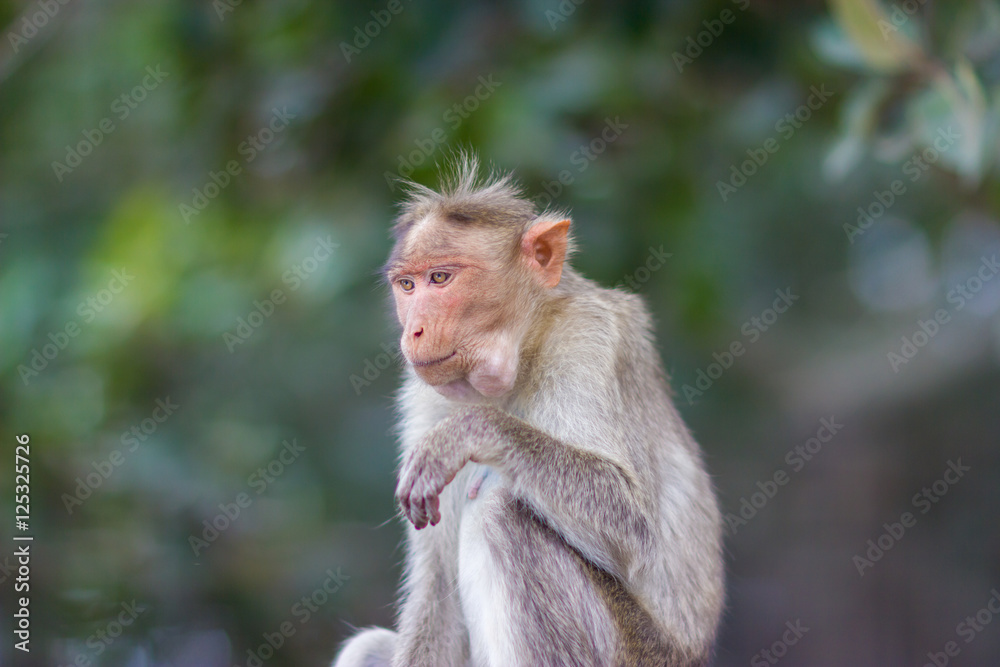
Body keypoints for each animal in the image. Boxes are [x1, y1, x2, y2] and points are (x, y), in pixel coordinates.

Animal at [332, 154, 724, 667]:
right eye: (407, 285)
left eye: (441, 278)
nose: (413, 329)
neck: (524, 348)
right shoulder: (427, 399)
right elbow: (438, 590)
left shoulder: (587, 338)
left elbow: (632, 528)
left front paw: (472, 430)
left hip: (635, 651)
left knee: (502, 512)